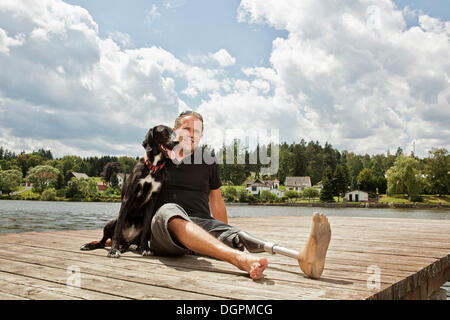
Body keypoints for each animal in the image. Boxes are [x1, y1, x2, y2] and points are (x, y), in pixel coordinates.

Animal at [80, 125, 178, 258]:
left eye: (174, 132)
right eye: (164, 132)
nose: (177, 142)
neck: (152, 167)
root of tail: (128, 239)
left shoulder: (152, 201)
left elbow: (146, 229)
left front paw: (145, 248)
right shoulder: (128, 197)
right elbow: (118, 229)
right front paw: (113, 250)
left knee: (131, 241)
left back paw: (131, 247)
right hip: (110, 223)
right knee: (103, 241)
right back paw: (91, 245)